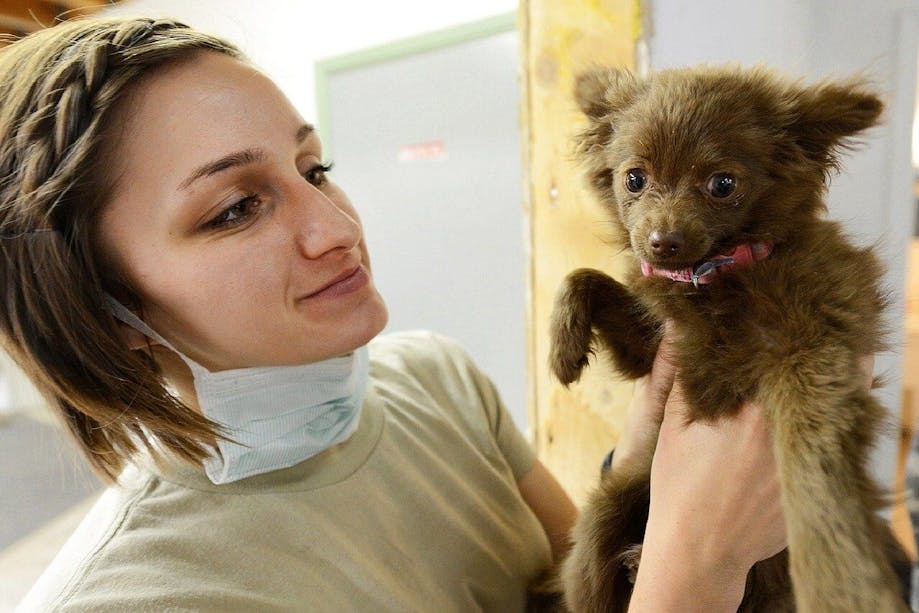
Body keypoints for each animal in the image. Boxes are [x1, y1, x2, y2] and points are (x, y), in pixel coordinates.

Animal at [548, 64, 908, 608]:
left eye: (722, 184)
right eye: (634, 179)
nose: (662, 242)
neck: (716, 278)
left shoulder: (816, 350)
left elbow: (811, 461)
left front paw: (840, 580)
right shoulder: (651, 348)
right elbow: (584, 276)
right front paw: (563, 348)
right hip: (605, 512)